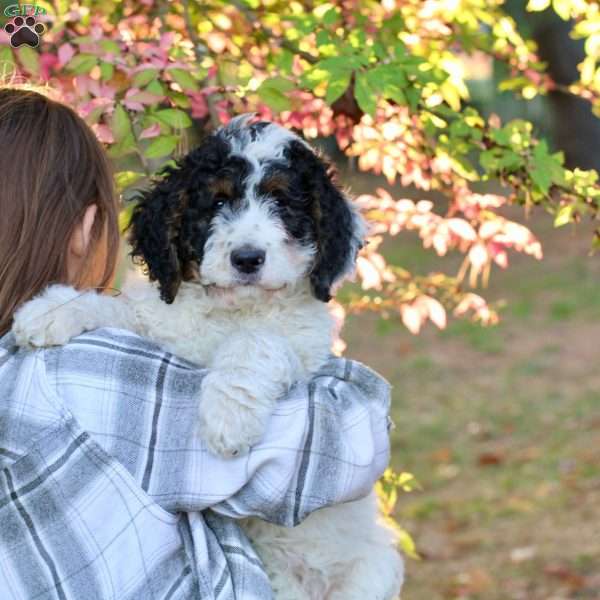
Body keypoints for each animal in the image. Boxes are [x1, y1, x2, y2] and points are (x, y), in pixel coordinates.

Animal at [14, 115, 406, 596]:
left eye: (282, 203)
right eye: (218, 200)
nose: (247, 258)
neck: (229, 310)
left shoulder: (301, 346)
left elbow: (257, 341)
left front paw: (227, 419)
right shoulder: (160, 326)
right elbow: (120, 309)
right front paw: (50, 311)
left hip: (373, 570)